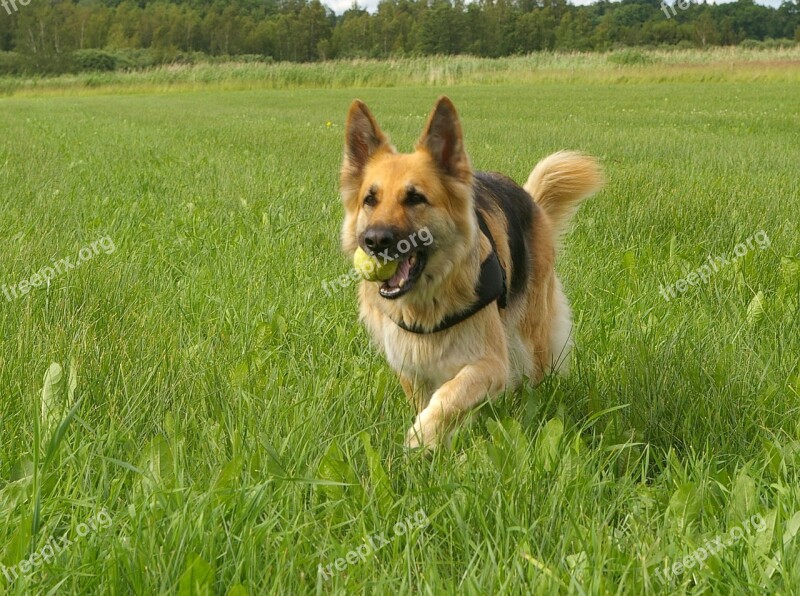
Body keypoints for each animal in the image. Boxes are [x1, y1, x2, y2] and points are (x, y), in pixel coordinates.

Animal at [338, 95, 600, 450]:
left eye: (415, 198)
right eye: (370, 199)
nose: (375, 241)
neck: (428, 303)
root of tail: (529, 198)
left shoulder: (490, 363)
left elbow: (449, 397)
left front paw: (421, 438)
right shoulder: (411, 367)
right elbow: (434, 401)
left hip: (531, 334)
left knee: (535, 376)